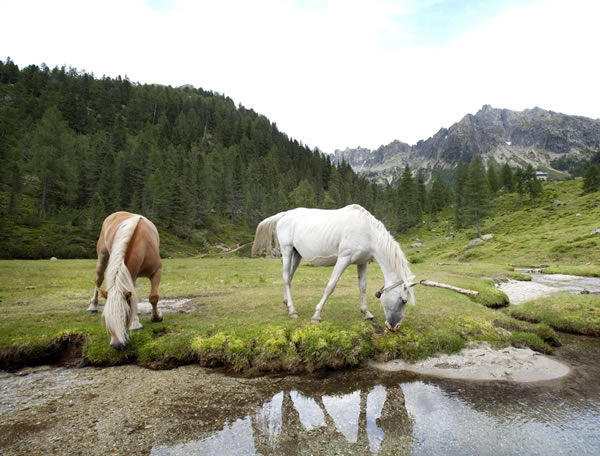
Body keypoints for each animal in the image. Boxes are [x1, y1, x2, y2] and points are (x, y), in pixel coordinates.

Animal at [86, 211, 162, 350]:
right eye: (106, 316)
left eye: (126, 314)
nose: (117, 345)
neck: (142, 243)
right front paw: (136, 323)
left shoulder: (156, 271)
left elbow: (153, 297)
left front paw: (156, 317)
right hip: (102, 256)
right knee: (98, 280)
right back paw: (92, 306)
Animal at [251, 205, 414, 330]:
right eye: (403, 301)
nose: (394, 326)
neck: (367, 232)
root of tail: (284, 214)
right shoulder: (343, 259)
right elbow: (330, 286)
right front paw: (316, 316)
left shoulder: (362, 262)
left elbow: (362, 287)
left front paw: (367, 314)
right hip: (287, 251)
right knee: (286, 278)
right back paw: (292, 311)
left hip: (296, 254)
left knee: (289, 278)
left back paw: (287, 304)